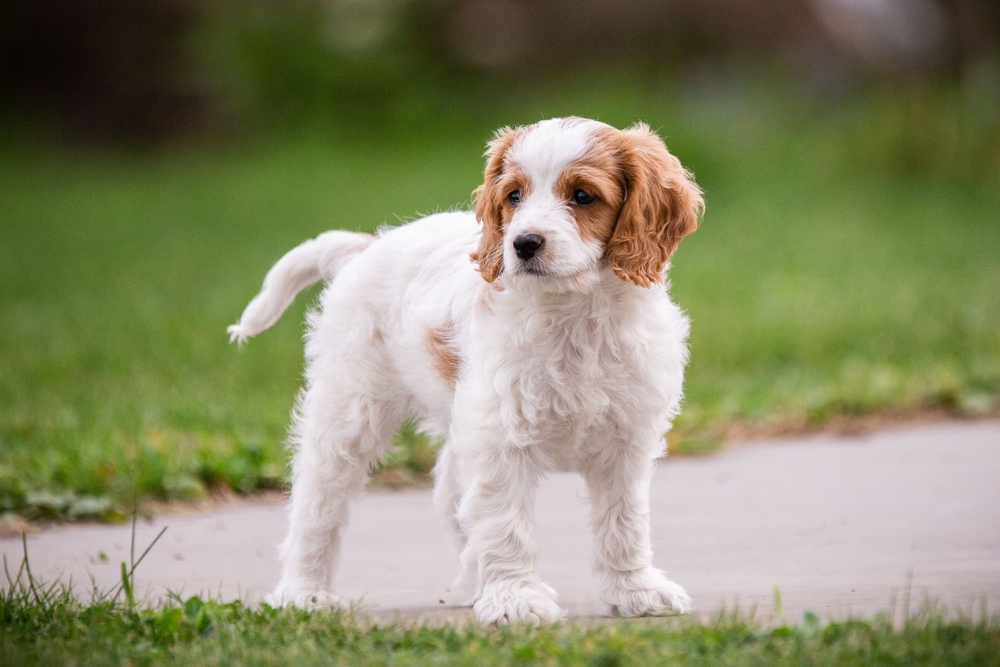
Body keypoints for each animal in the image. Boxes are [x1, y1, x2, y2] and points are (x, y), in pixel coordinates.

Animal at [229, 117, 704, 624]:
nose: (523, 243)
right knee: (318, 502)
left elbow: (624, 522)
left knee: (448, 494)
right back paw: (304, 593)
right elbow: (506, 523)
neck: (575, 315)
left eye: (582, 195)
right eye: (514, 196)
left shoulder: (625, 443)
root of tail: (368, 245)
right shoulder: (501, 438)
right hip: (350, 411)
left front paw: (636, 591)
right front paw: (515, 599)